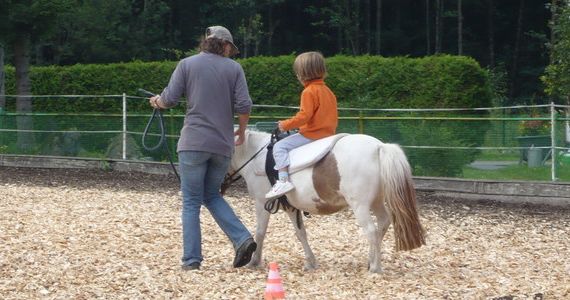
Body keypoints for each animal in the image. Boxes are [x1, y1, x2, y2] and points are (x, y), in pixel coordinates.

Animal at [226, 130, 422, 274]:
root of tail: (379, 147)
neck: (255, 157)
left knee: (371, 230)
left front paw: (254, 261)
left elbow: (260, 233)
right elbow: (301, 234)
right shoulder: (291, 208)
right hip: (376, 202)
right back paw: (371, 260)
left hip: (360, 206)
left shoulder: (262, 203)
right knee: (383, 223)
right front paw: (310, 262)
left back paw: (375, 267)